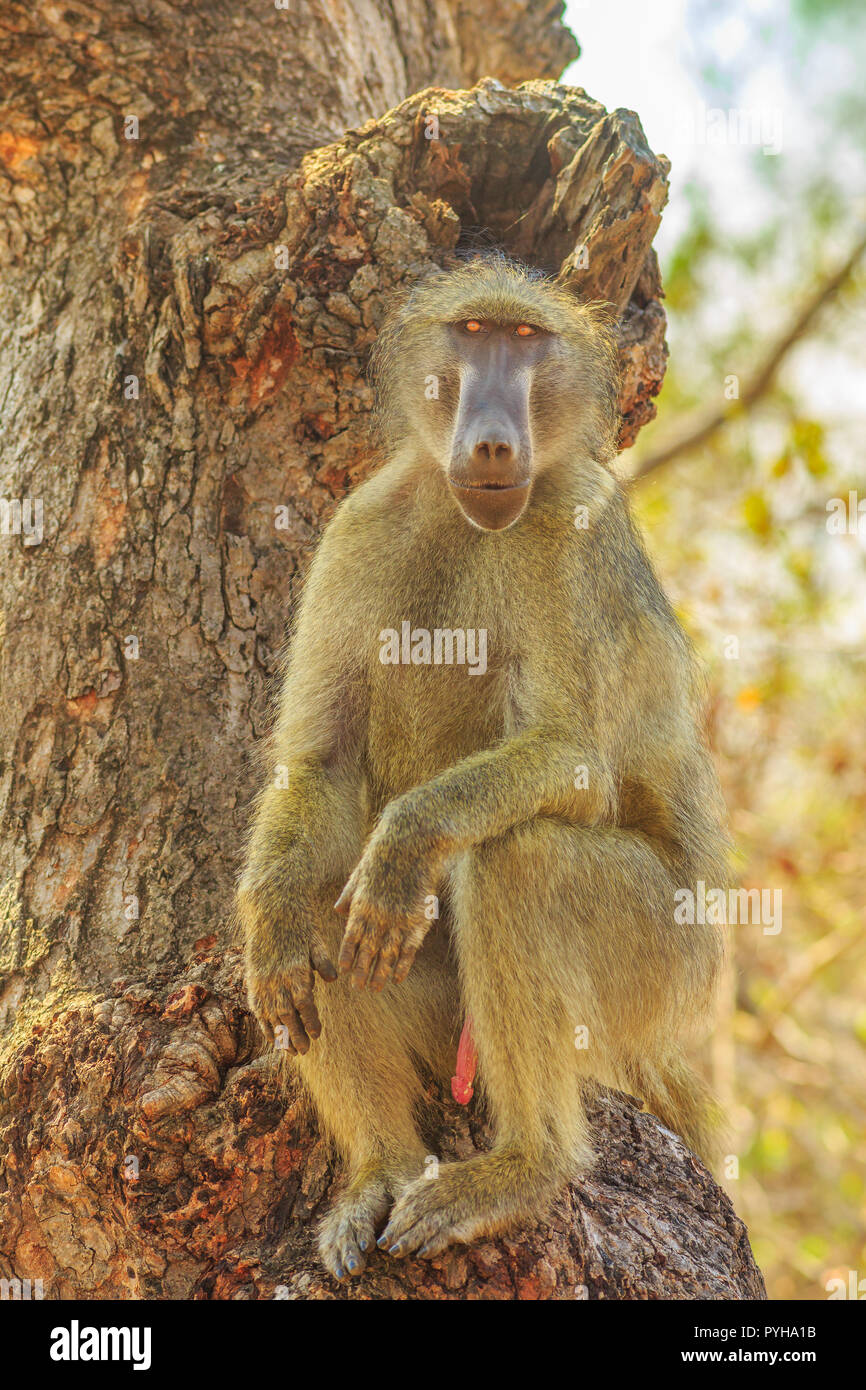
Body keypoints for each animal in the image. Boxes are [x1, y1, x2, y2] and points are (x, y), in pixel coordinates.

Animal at [236, 255, 729, 1281]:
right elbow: (318, 765)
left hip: (666, 962)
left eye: (527, 341)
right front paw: (270, 922)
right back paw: (381, 1170)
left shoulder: (568, 532)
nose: (496, 439)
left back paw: (524, 1170)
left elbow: (571, 762)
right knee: (322, 913)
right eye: (472, 333)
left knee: (517, 862)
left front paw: (405, 843)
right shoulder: (356, 525)